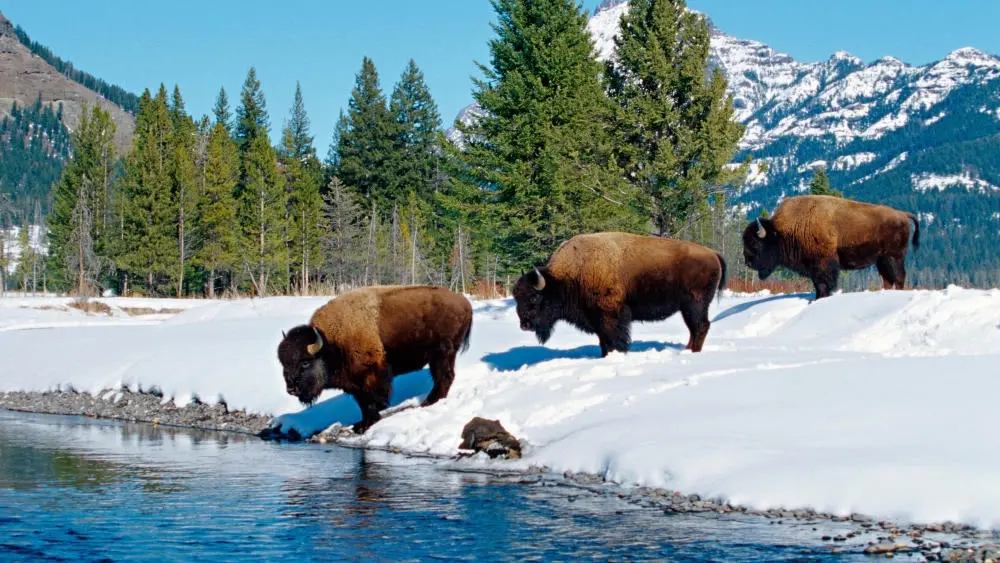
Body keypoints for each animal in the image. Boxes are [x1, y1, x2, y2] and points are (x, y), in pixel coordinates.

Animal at [278, 286, 472, 436]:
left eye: (305, 362)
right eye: (284, 364)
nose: (291, 388)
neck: (331, 343)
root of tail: (464, 303)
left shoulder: (372, 375)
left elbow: (372, 401)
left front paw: (367, 424)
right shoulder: (354, 384)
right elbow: (363, 403)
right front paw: (361, 424)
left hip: (442, 354)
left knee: (444, 377)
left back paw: (429, 402)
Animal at [516, 232, 728, 356]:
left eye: (534, 297)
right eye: (516, 298)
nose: (524, 325)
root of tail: (713, 254)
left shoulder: (611, 316)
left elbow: (614, 339)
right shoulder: (596, 319)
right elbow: (603, 341)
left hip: (695, 305)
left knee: (700, 326)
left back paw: (693, 352)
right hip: (687, 308)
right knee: (694, 328)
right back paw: (687, 350)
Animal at [744, 195, 920, 300]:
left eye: (755, 243)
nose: (748, 262)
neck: (781, 231)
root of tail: (902, 215)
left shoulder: (824, 263)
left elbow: (824, 283)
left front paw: (820, 298)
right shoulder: (813, 267)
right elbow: (817, 284)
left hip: (894, 257)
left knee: (899, 276)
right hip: (882, 259)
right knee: (888, 278)